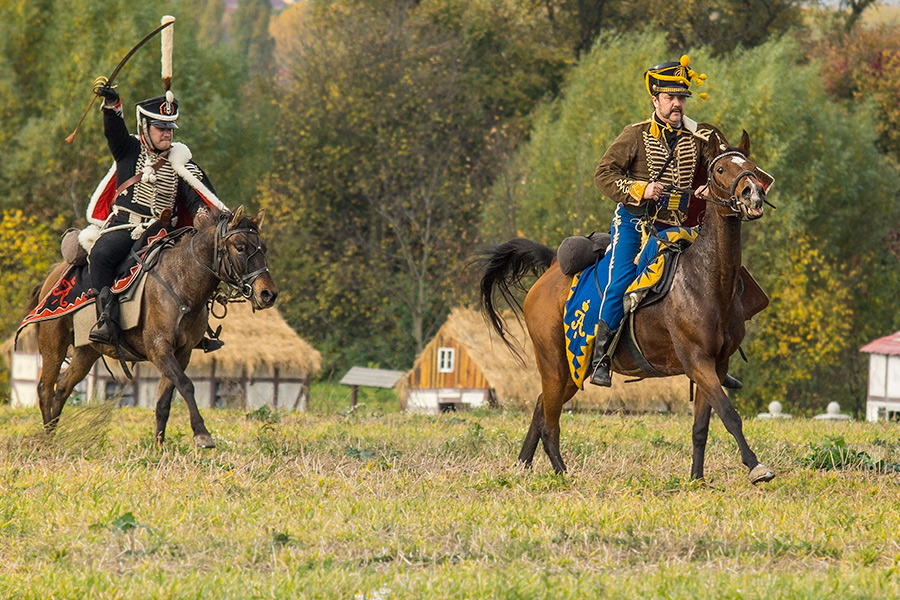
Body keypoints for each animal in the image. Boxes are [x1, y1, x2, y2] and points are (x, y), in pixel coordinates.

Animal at [29, 206, 276, 446]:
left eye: (263, 248)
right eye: (240, 247)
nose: (268, 294)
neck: (182, 283)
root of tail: (54, 273)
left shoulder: (182, 353)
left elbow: (164, 402)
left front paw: (159, 447)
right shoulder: (159, 349)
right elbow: (186, 385)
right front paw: (202, 434)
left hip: (86, 352)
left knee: (63, 388)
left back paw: (51, 437)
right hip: (54, 345)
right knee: (45, 389)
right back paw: (46, 442)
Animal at [482, 131, 776, 482]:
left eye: (752, 167)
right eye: (720, 170)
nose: (753, 194)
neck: (707, 279)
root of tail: (553, 265)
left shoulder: (716, 365)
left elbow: (702, 426)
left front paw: (697, 478)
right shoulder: (697, 361)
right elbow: (730, 414)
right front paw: (756, 467)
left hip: (570, 373)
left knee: (541, 408)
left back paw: (523, 466)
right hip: (557, 366)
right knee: (550, 421)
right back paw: (562, 473)